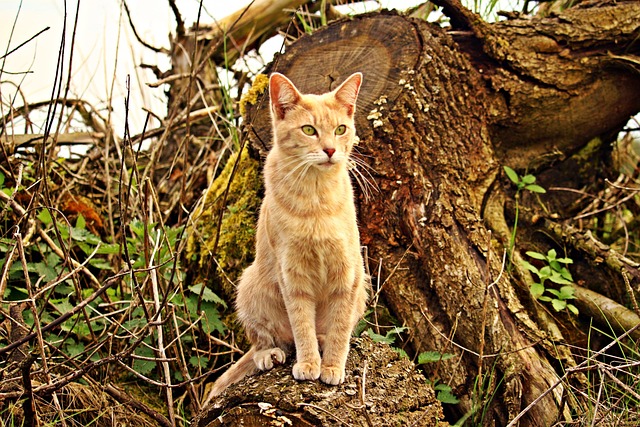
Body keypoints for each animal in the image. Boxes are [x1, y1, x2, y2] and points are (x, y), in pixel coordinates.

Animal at [209, 71, 370, 402]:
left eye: (341, 129)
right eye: (309, 130)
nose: (330, 150)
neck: (316, 201)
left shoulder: (349, 275)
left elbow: (339, 328)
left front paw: (331, 366)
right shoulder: (292, 275)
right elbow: (301, 324)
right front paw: (309, 364)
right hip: (250, 285)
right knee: (266, 339)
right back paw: (269, 355)